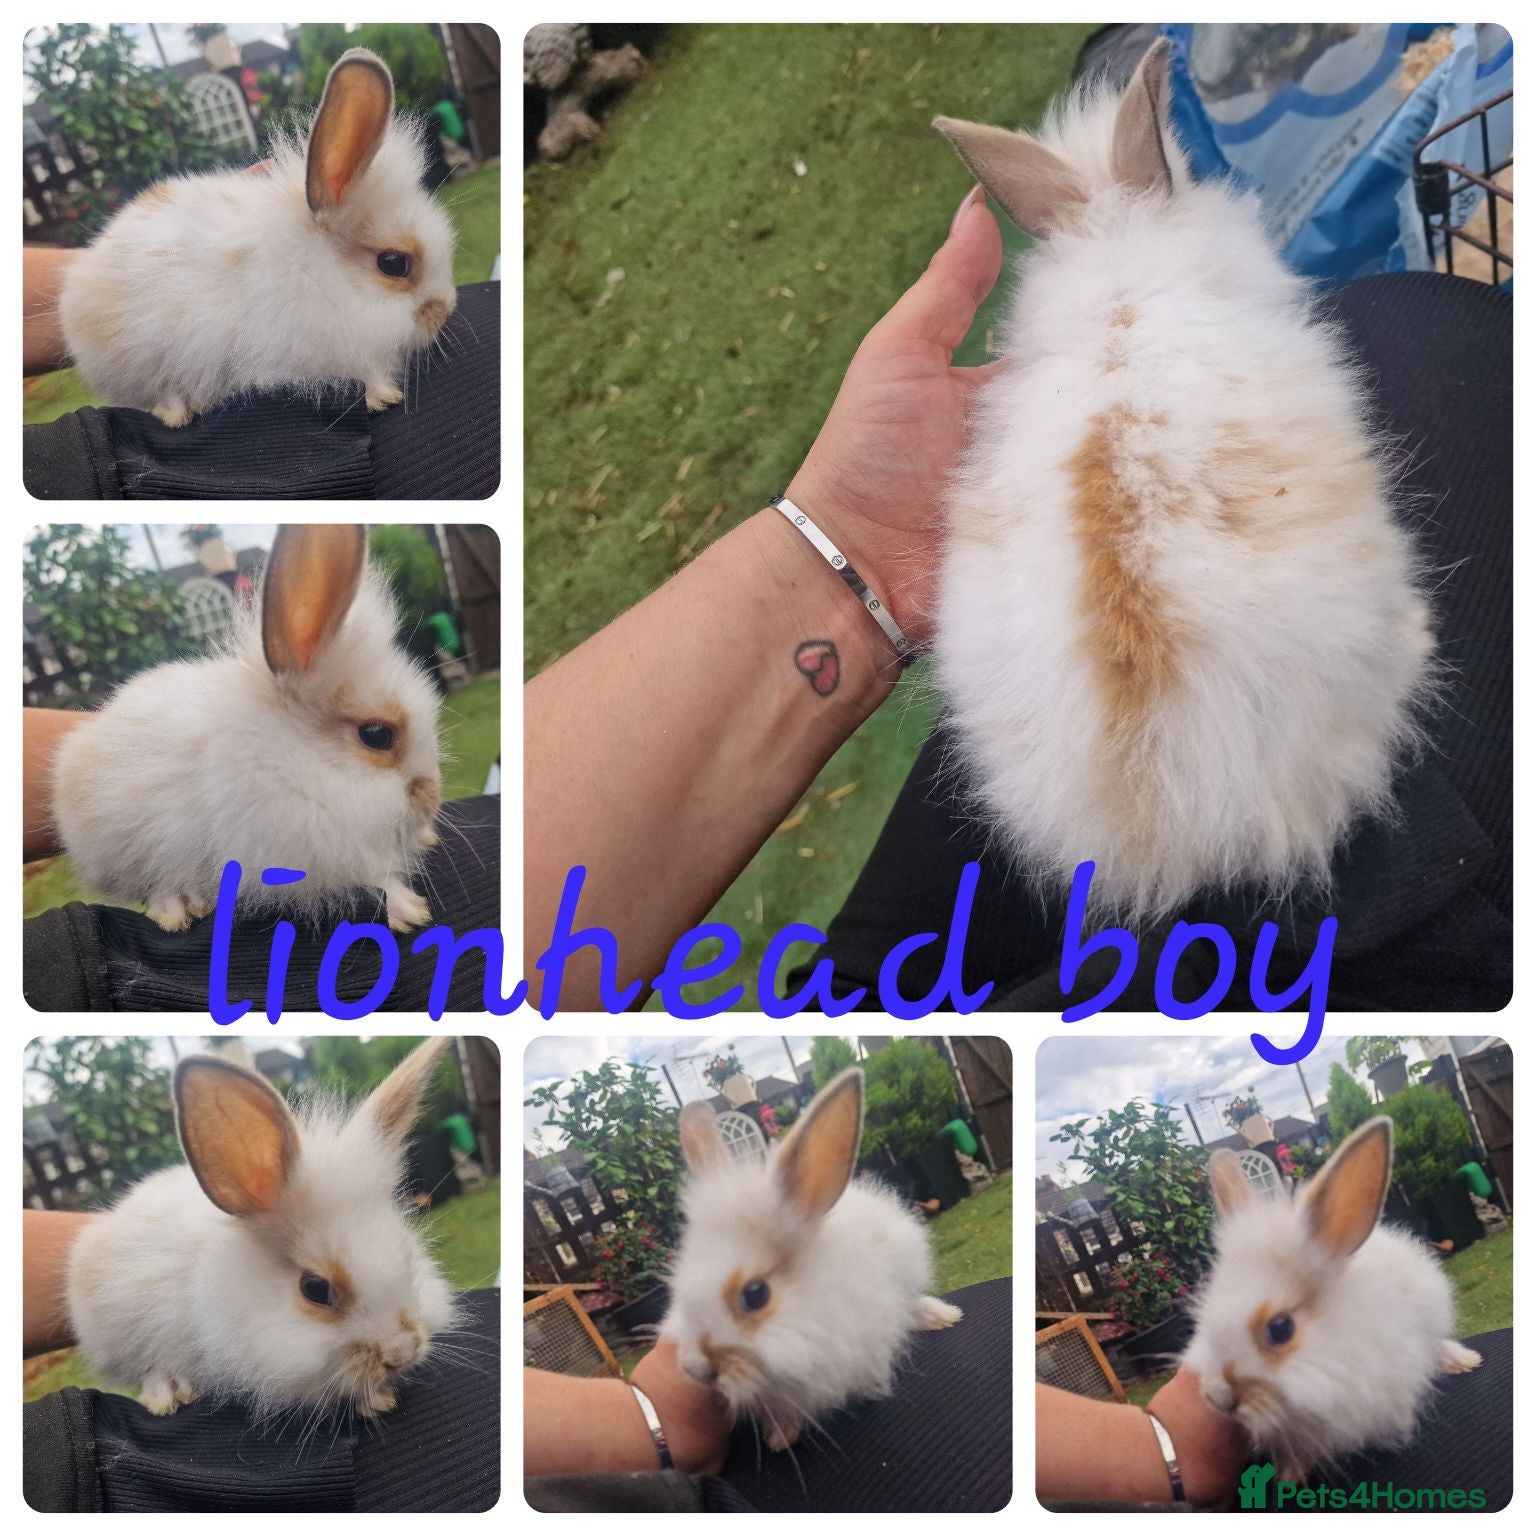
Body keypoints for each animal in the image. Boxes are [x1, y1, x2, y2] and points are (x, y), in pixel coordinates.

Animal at [51, 523, 443, 934]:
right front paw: (407, 908)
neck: (289, 761)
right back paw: (178, 908)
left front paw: (424, 843)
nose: (432, 797)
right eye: (377, 735)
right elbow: (367, 877)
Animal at [58, 48, 458, 427]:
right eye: (394, 264)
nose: (445, 310)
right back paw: (182, 412)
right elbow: (362, 371)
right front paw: (383, 396)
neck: (319, 275)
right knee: (166, 391)